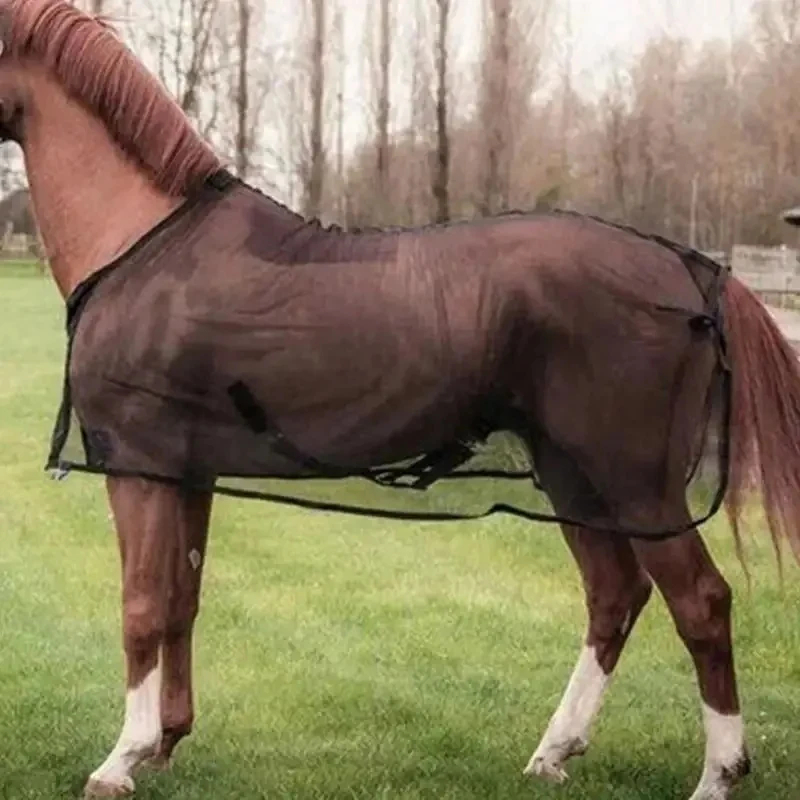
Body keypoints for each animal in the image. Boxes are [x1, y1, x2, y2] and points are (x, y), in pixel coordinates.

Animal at [2, 2, 800, 799]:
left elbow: (140, 603)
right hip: (572, 474)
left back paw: (718, 774)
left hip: (636, 484)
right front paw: (167, 740)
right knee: (615, 594)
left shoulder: (137, 467)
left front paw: (121, 759)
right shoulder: (184, 472)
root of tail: (691, 269)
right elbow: (180, 599)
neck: (146, 245)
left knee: (700, 601)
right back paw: (553, 752)